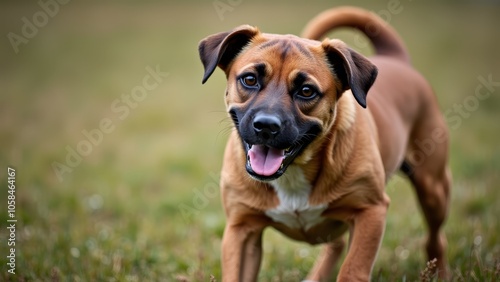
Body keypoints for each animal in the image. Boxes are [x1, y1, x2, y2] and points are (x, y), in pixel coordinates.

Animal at [197, 6, 452, 282]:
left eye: (307, 91)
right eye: (250, 79)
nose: (266, 125)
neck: (294, 172)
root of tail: (395, 58)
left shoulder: (370, 212)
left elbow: (352, 270)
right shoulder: (242, 228)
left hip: (433, 189)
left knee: (436, 238)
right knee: (336, 243)